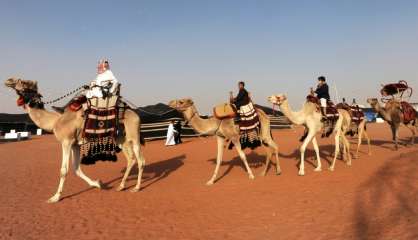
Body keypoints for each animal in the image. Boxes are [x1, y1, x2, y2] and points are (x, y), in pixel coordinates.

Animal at [3, 78, 145, 202]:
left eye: (22, 82)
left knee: (141, 160)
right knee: (131, 159)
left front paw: (55, 197)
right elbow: (76, 168)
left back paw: (137, 187)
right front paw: (97, 184)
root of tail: (136, 114)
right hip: (121, 138)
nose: (8, 80)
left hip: (134, 134)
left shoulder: (66, 141)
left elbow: (64, 170)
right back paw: (121, 186)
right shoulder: (75, 144)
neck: (55, 121)